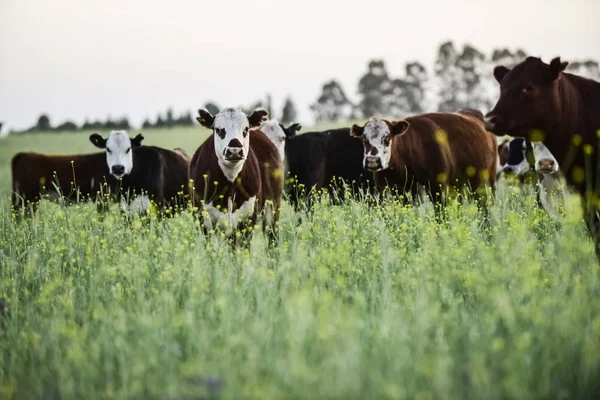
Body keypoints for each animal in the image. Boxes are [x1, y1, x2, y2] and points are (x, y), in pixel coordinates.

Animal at [190, 106, 284, 244]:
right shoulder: (205, 222)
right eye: (218, 129)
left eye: (246, 129)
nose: (235, 150)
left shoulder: (248, 220)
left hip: (273, 210)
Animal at [350, 111, 494, 205]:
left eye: (387, 137)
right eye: (364, 139)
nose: (372, 161)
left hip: (481, 184)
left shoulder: (437, 187)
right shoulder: (385, 187)